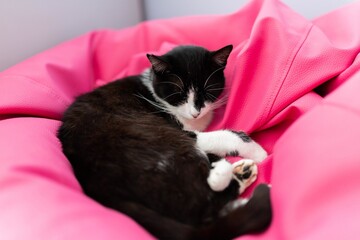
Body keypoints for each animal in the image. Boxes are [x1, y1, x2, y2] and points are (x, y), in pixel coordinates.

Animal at [57, 45, 272, 240]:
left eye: (207, 91)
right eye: (179, 93)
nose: (196, 111)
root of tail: (106, 191)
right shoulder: (180, 129)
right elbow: (222, 138)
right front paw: (257, 153)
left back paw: (242, 174)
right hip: (165, 142)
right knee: (202, 208)